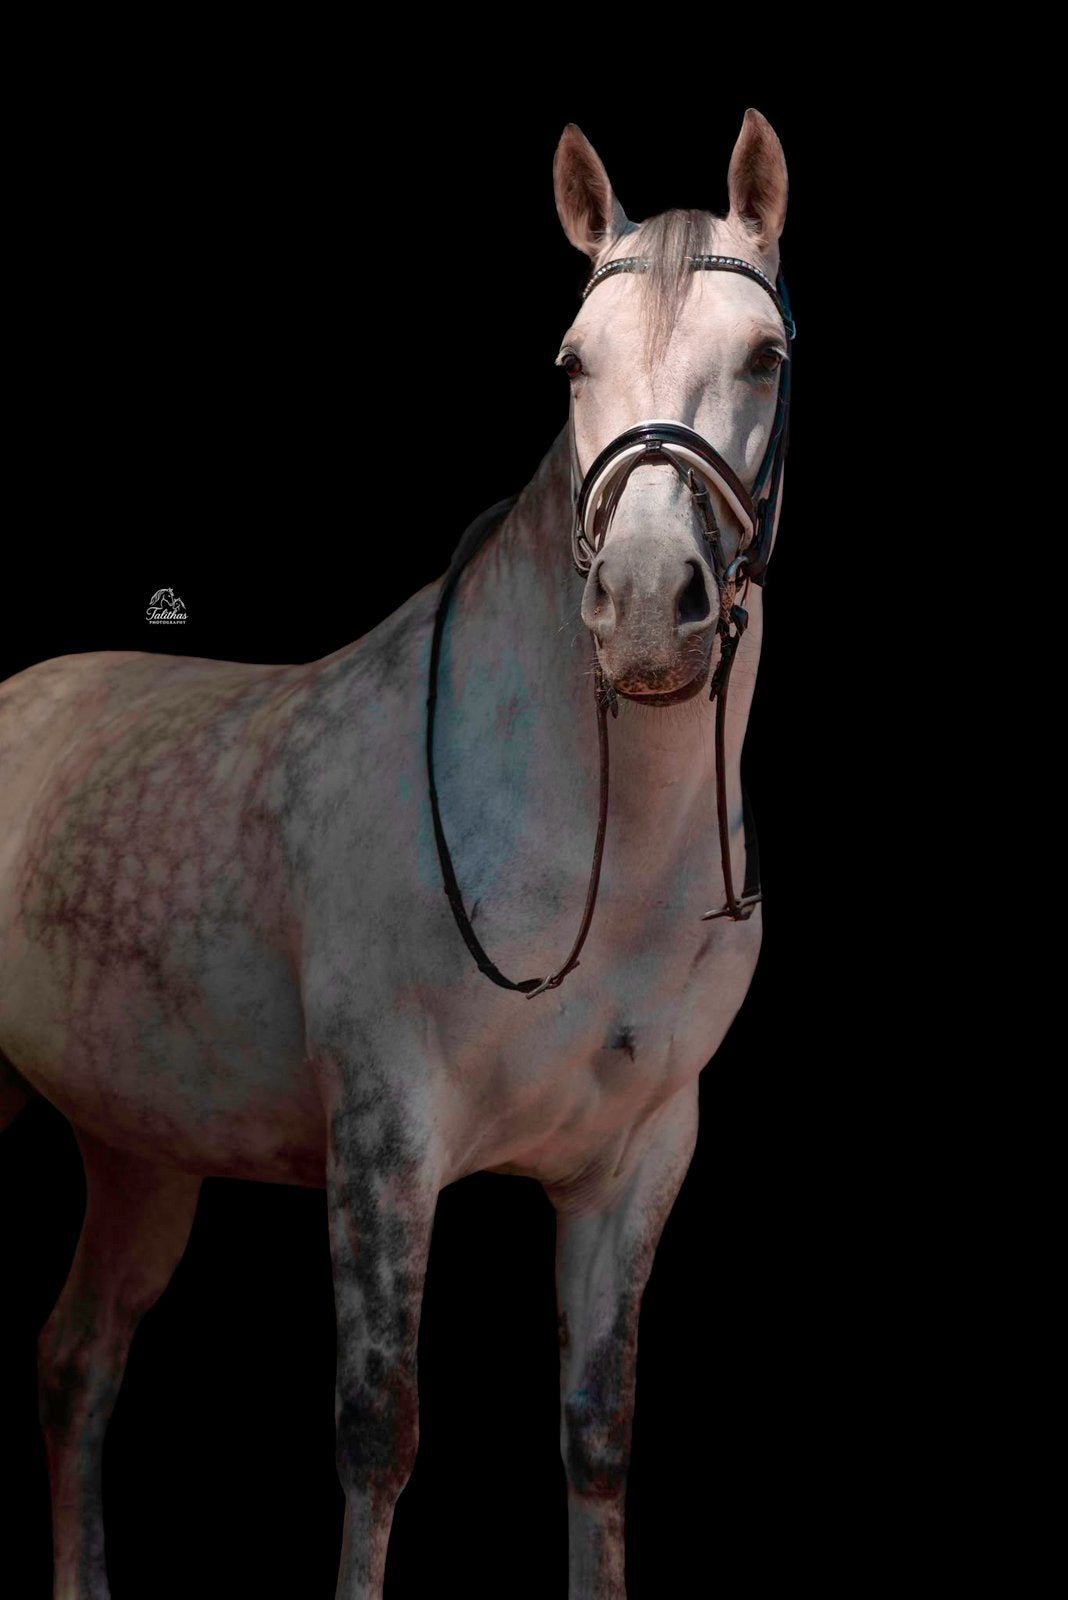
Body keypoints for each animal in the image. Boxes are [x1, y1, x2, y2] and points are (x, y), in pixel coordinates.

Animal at [0, 107, 792, 1599]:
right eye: (571, 361)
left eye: (766, 357)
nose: (645, 608)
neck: (588, 851)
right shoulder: (386, 1134)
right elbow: (379, 1435)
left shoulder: (638, 1159)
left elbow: (597, 1440)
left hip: (139, 1151)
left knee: (77, 1362)